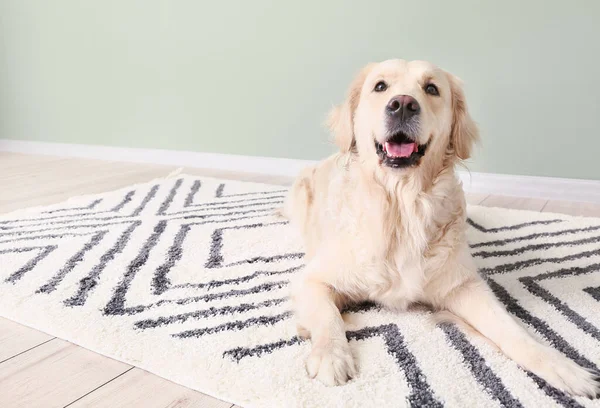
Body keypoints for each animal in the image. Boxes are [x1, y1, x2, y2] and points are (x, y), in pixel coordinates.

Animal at [282, 59, 600, 396]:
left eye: (431, 88)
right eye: (380, 86)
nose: (402, 104)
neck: (403, 206)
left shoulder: (464, 286)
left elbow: (513, 330)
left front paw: (563, 368)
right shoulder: (313, 279)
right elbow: (328, 317)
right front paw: (330, 355)